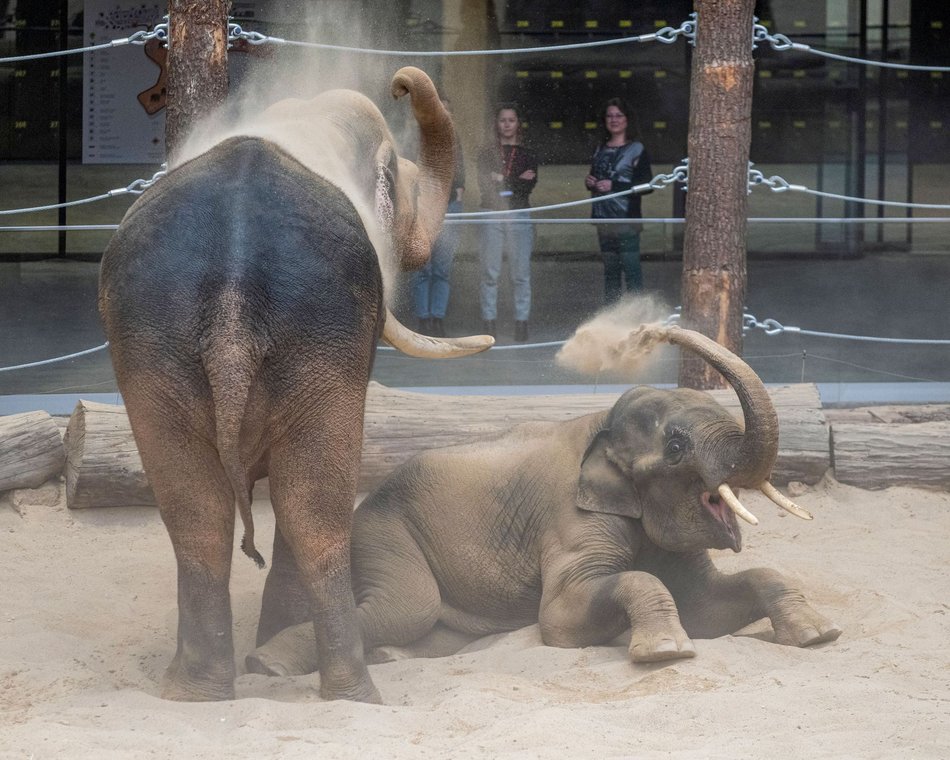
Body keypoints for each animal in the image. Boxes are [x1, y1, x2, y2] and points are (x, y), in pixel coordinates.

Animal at [101, 68, 494, 704]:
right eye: (402, 180)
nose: (401, 85)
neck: (305, 116)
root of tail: (231, 298)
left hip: (152, 351)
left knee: (196, 516)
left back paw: (194, 691)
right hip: (314, 336)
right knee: (313, 512)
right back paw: (351, 694)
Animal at [249, 324, 844, 680]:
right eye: (676, 447)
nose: (653, 330)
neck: (601, 424)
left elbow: (708, 605)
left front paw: (820, 635)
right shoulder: (573, 520)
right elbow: (561, 615)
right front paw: (665, 652)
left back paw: (387, 657)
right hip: (384, 531)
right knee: (406, 607)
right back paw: (269, 664)